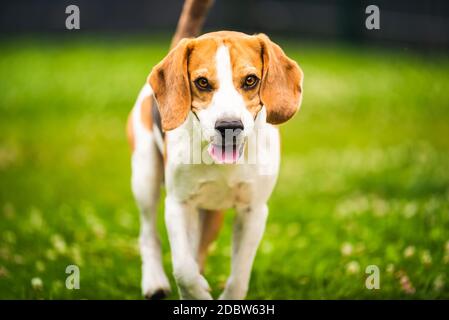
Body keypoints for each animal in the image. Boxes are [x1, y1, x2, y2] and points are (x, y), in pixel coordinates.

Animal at [128, 31, 302, 298]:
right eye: (202, 82)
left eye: (250, 80)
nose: (229, 126)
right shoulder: (178, 204)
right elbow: (183, 270)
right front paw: (196, 293)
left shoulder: (253, 210)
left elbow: (239, 275)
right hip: (145, 178)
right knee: (149, 235)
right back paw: (154, 281)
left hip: (211, 215)